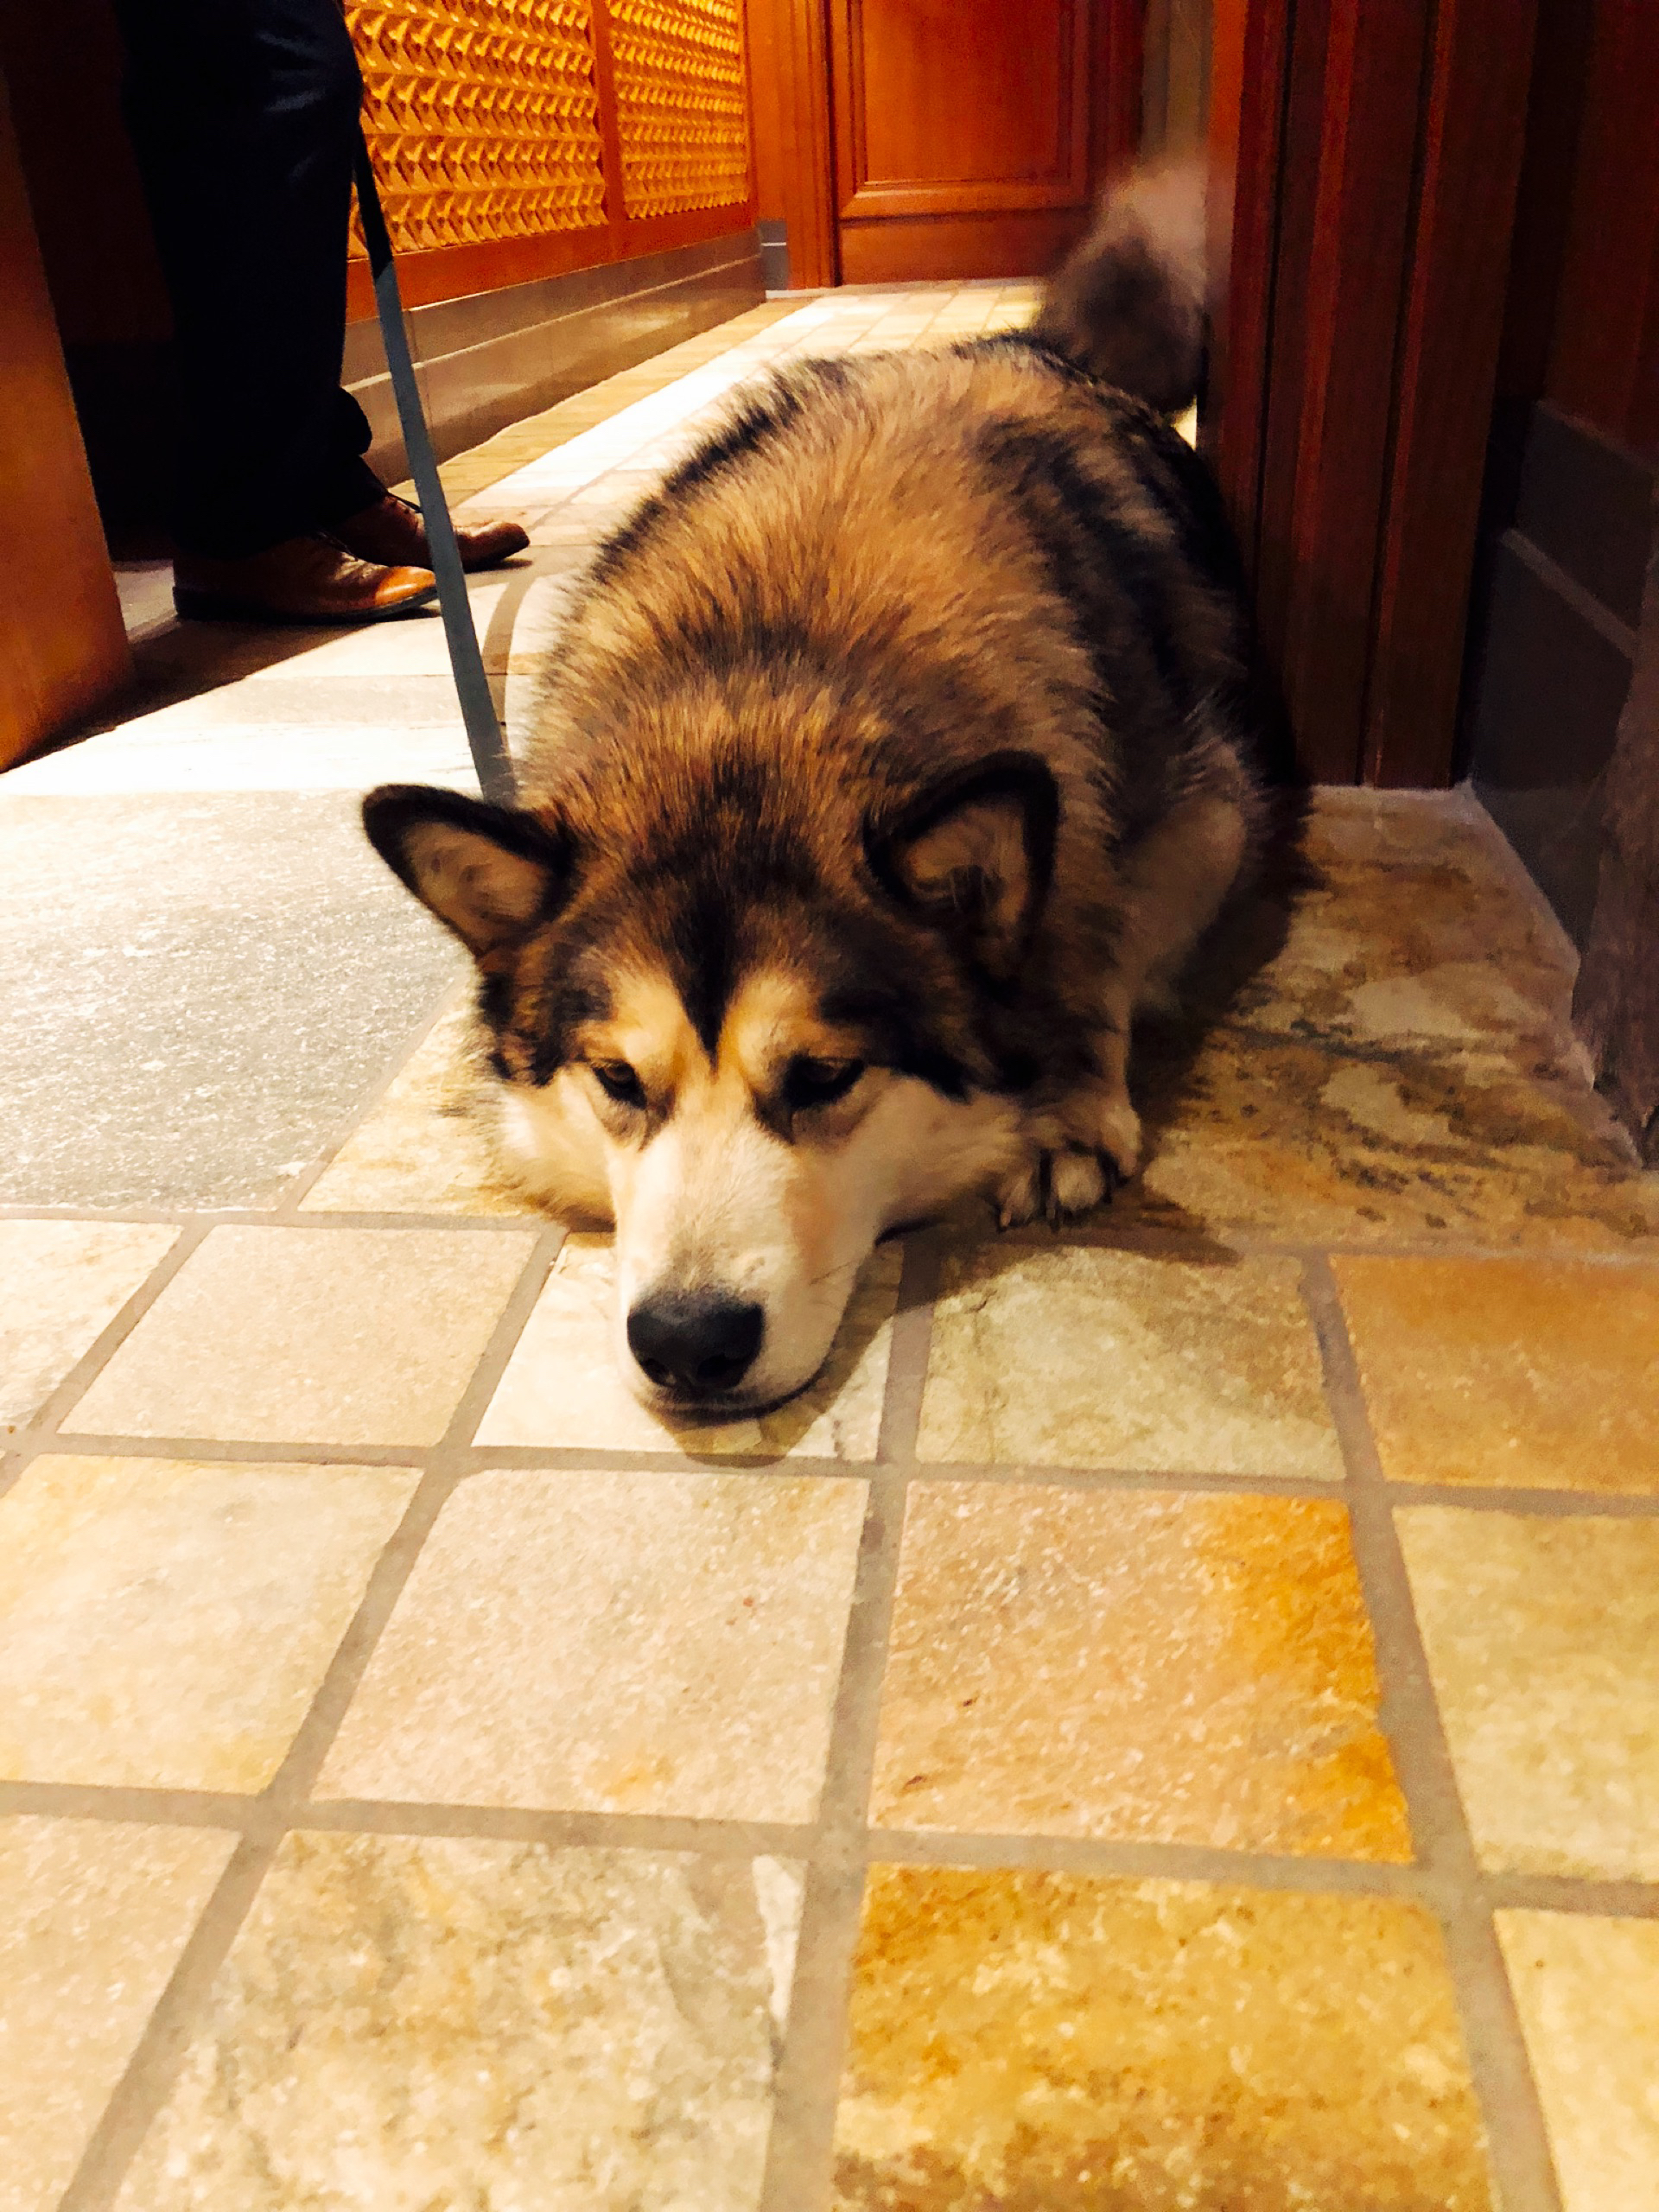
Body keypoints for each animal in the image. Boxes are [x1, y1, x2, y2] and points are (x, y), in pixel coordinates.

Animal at [369, 172, 1265, 1415]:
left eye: (825, 1076)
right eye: (617, 1078)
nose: (688, 1343)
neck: (765, 669)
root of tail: (1036, 342)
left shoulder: (1210, 809)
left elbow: (1106, 934)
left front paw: (1069, 1098)